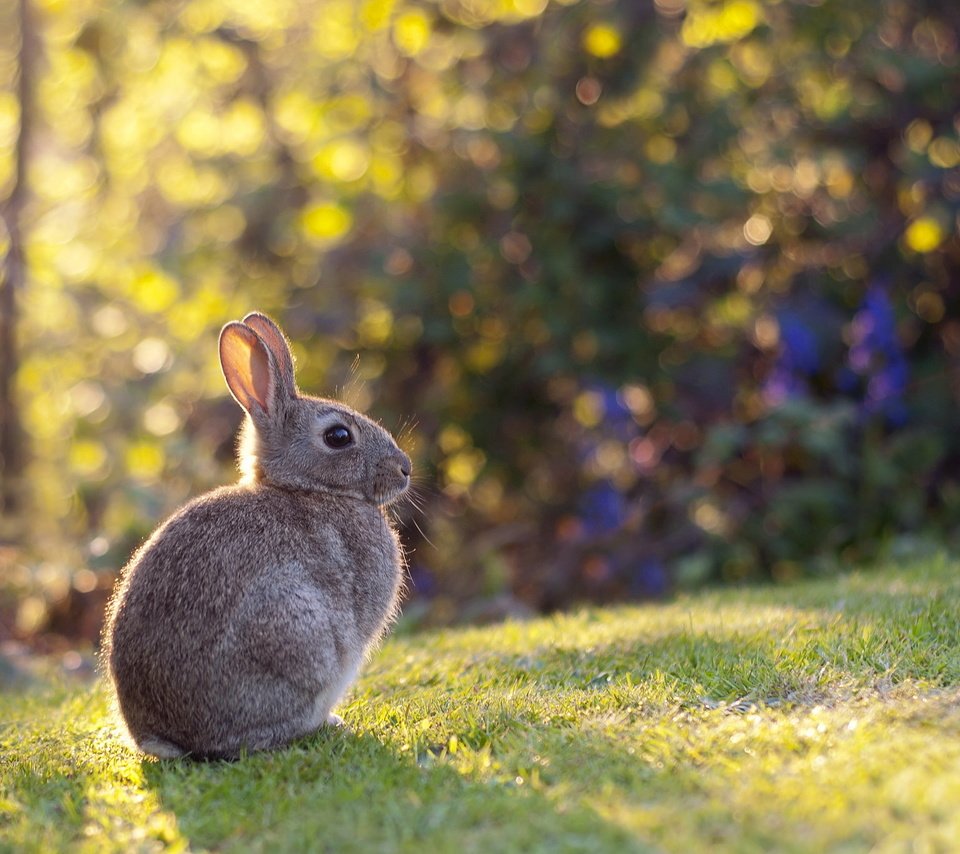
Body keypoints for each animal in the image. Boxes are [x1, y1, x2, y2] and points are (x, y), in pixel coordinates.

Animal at [103, 314, 410, 764]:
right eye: (338, 437)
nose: (405, 468)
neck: (307, 488)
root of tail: (165, 736)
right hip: (295, 630)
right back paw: (324, 724)